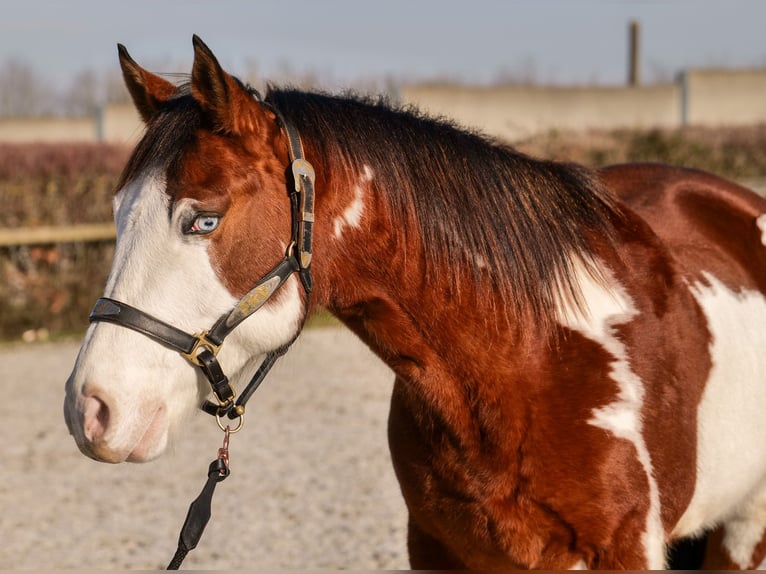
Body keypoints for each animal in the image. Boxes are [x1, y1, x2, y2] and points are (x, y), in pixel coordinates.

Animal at [63, 36, 766, 572]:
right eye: (117, 215)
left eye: (203, 221)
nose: (91, 410)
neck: (531, 362)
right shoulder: (438, 550)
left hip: (744, 534)